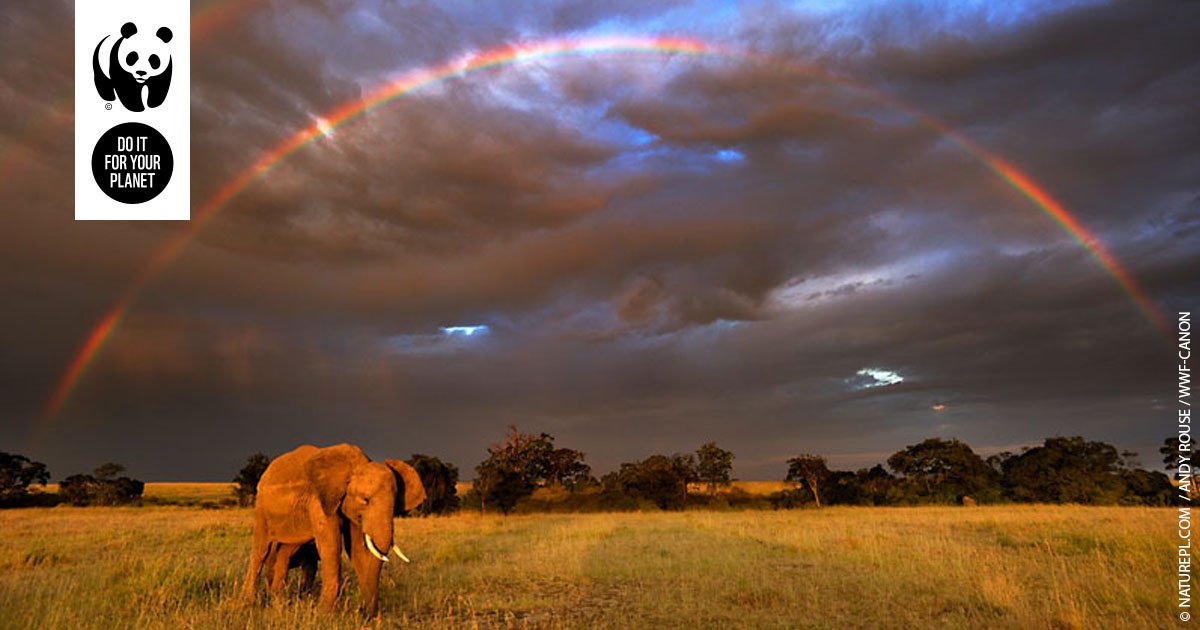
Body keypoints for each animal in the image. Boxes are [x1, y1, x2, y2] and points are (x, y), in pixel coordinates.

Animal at [239, 444, 426, 616]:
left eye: (395, 505)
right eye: (365, 500)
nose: (364, 612)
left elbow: (357, 551)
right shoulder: (319, 501)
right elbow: (331, 548)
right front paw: (324, 614)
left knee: (285, 553)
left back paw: (278, 601)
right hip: (261, 508)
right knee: (260, 551)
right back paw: (249, 603)